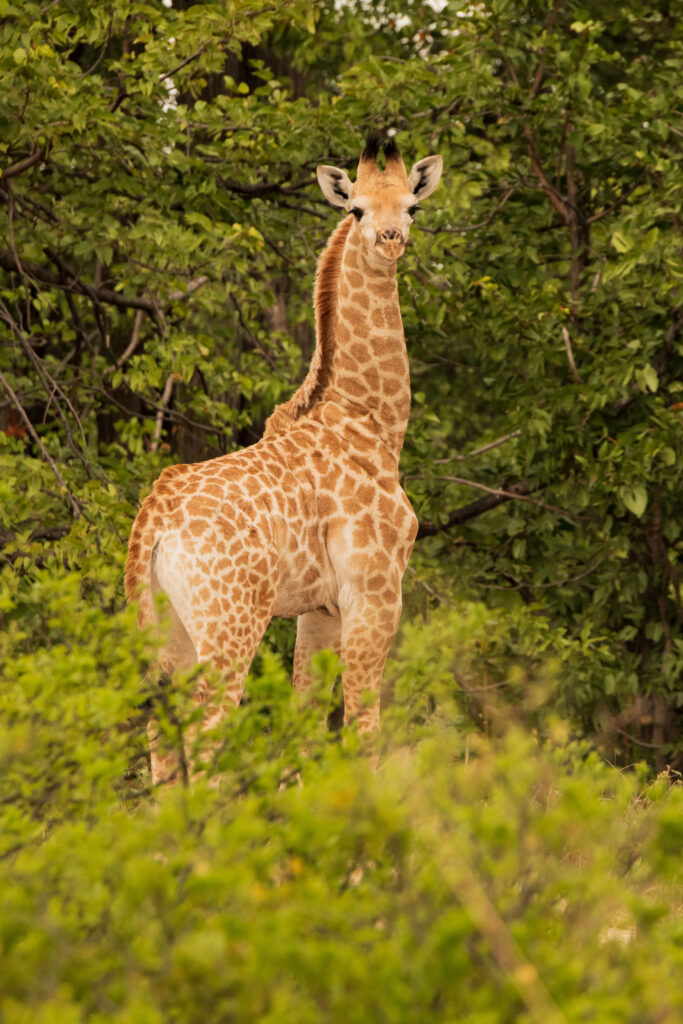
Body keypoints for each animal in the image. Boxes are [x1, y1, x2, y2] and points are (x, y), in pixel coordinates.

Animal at [125, 135, 443, 784]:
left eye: (412, 207)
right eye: (356, 210)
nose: (389, 240)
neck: (372, 420)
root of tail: (153, 521)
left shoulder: (317, 607)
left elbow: (305, 721)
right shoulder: (375, 591)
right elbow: (364, 725)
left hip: (166, 630)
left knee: (163, 737)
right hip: (232, 624)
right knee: (208, 732)